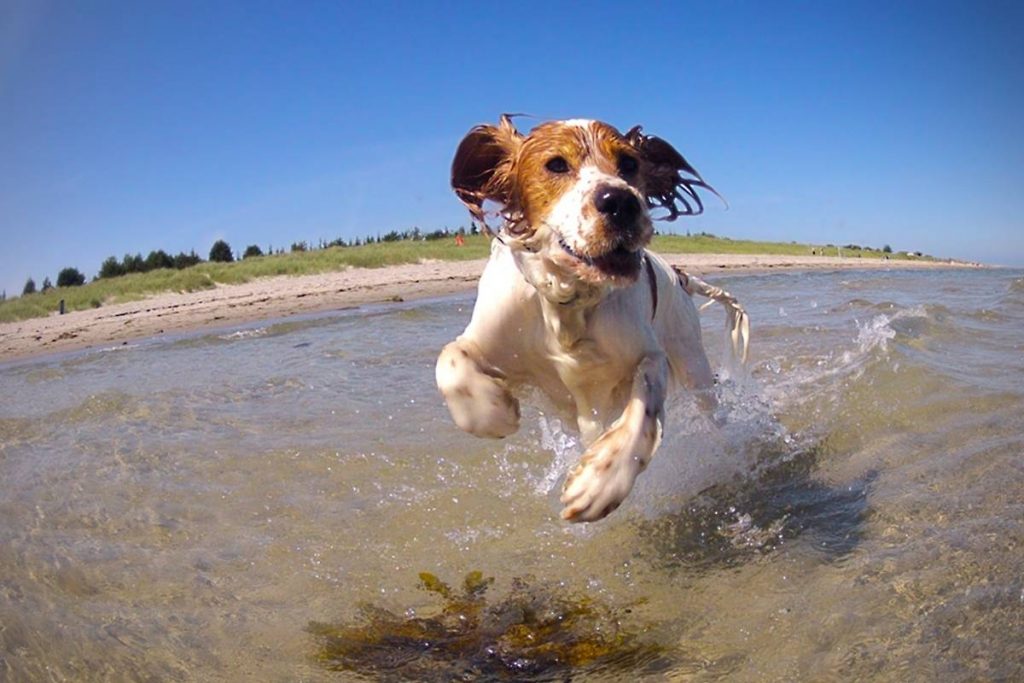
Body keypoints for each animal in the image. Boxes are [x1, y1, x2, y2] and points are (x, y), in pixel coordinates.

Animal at [436, 116, 749, 524]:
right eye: (555, 164)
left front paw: (601, 482)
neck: (570, 303)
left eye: (630, 163)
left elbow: (643, 407)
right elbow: (451, 360)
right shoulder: (490, 337)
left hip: (693, 363)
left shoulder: (649, 355)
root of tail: (680, 274)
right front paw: (493, 413)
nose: (621, 202)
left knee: (712, 412)